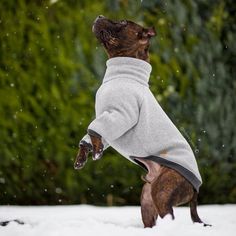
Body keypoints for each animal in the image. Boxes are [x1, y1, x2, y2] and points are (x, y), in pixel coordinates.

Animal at [74, 15, 210, 229]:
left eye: (122, 22)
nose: (99, 16)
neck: (125, 72)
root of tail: (196, 189)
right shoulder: (108, 121)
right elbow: (91, 136)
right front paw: (82, 157)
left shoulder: (120, 115)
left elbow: (94, 131)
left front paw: (95, 151)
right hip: (147, 199)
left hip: (162, 190)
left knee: (169, 215)